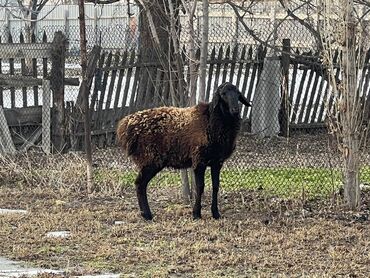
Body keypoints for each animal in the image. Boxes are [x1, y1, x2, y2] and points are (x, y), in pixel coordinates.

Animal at [118, 81, 251, 220]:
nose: (235, 110)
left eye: (238, 93)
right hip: (150, 159)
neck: (211, 120)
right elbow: (200, 187)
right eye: (223, 94)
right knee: (140, 184)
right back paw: (147, 215)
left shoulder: (217, 162)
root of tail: (126, 126)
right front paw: (196, 214)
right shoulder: (199, 160)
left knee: (141, 184)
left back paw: (146, 214)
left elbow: (215, 186)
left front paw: (215, 213)